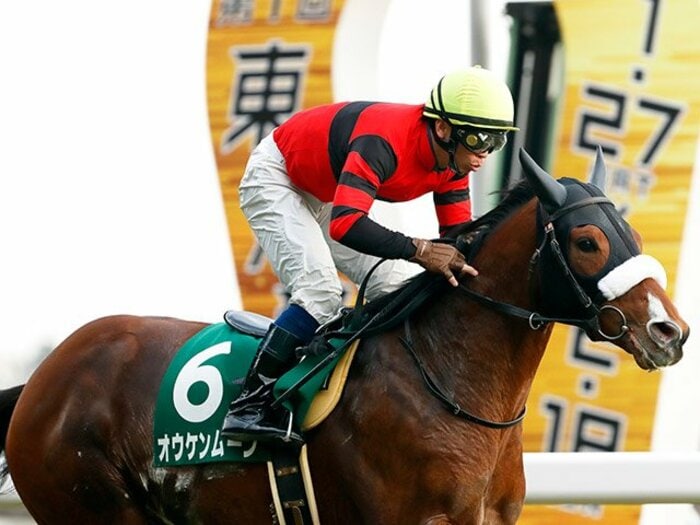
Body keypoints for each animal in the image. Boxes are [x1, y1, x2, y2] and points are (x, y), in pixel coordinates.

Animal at [0, 148, 688, 524]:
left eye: (632, 233)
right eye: (588, 241)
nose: (670, 330)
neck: (452, 382)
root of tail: (42, 379)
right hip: (93, 506)